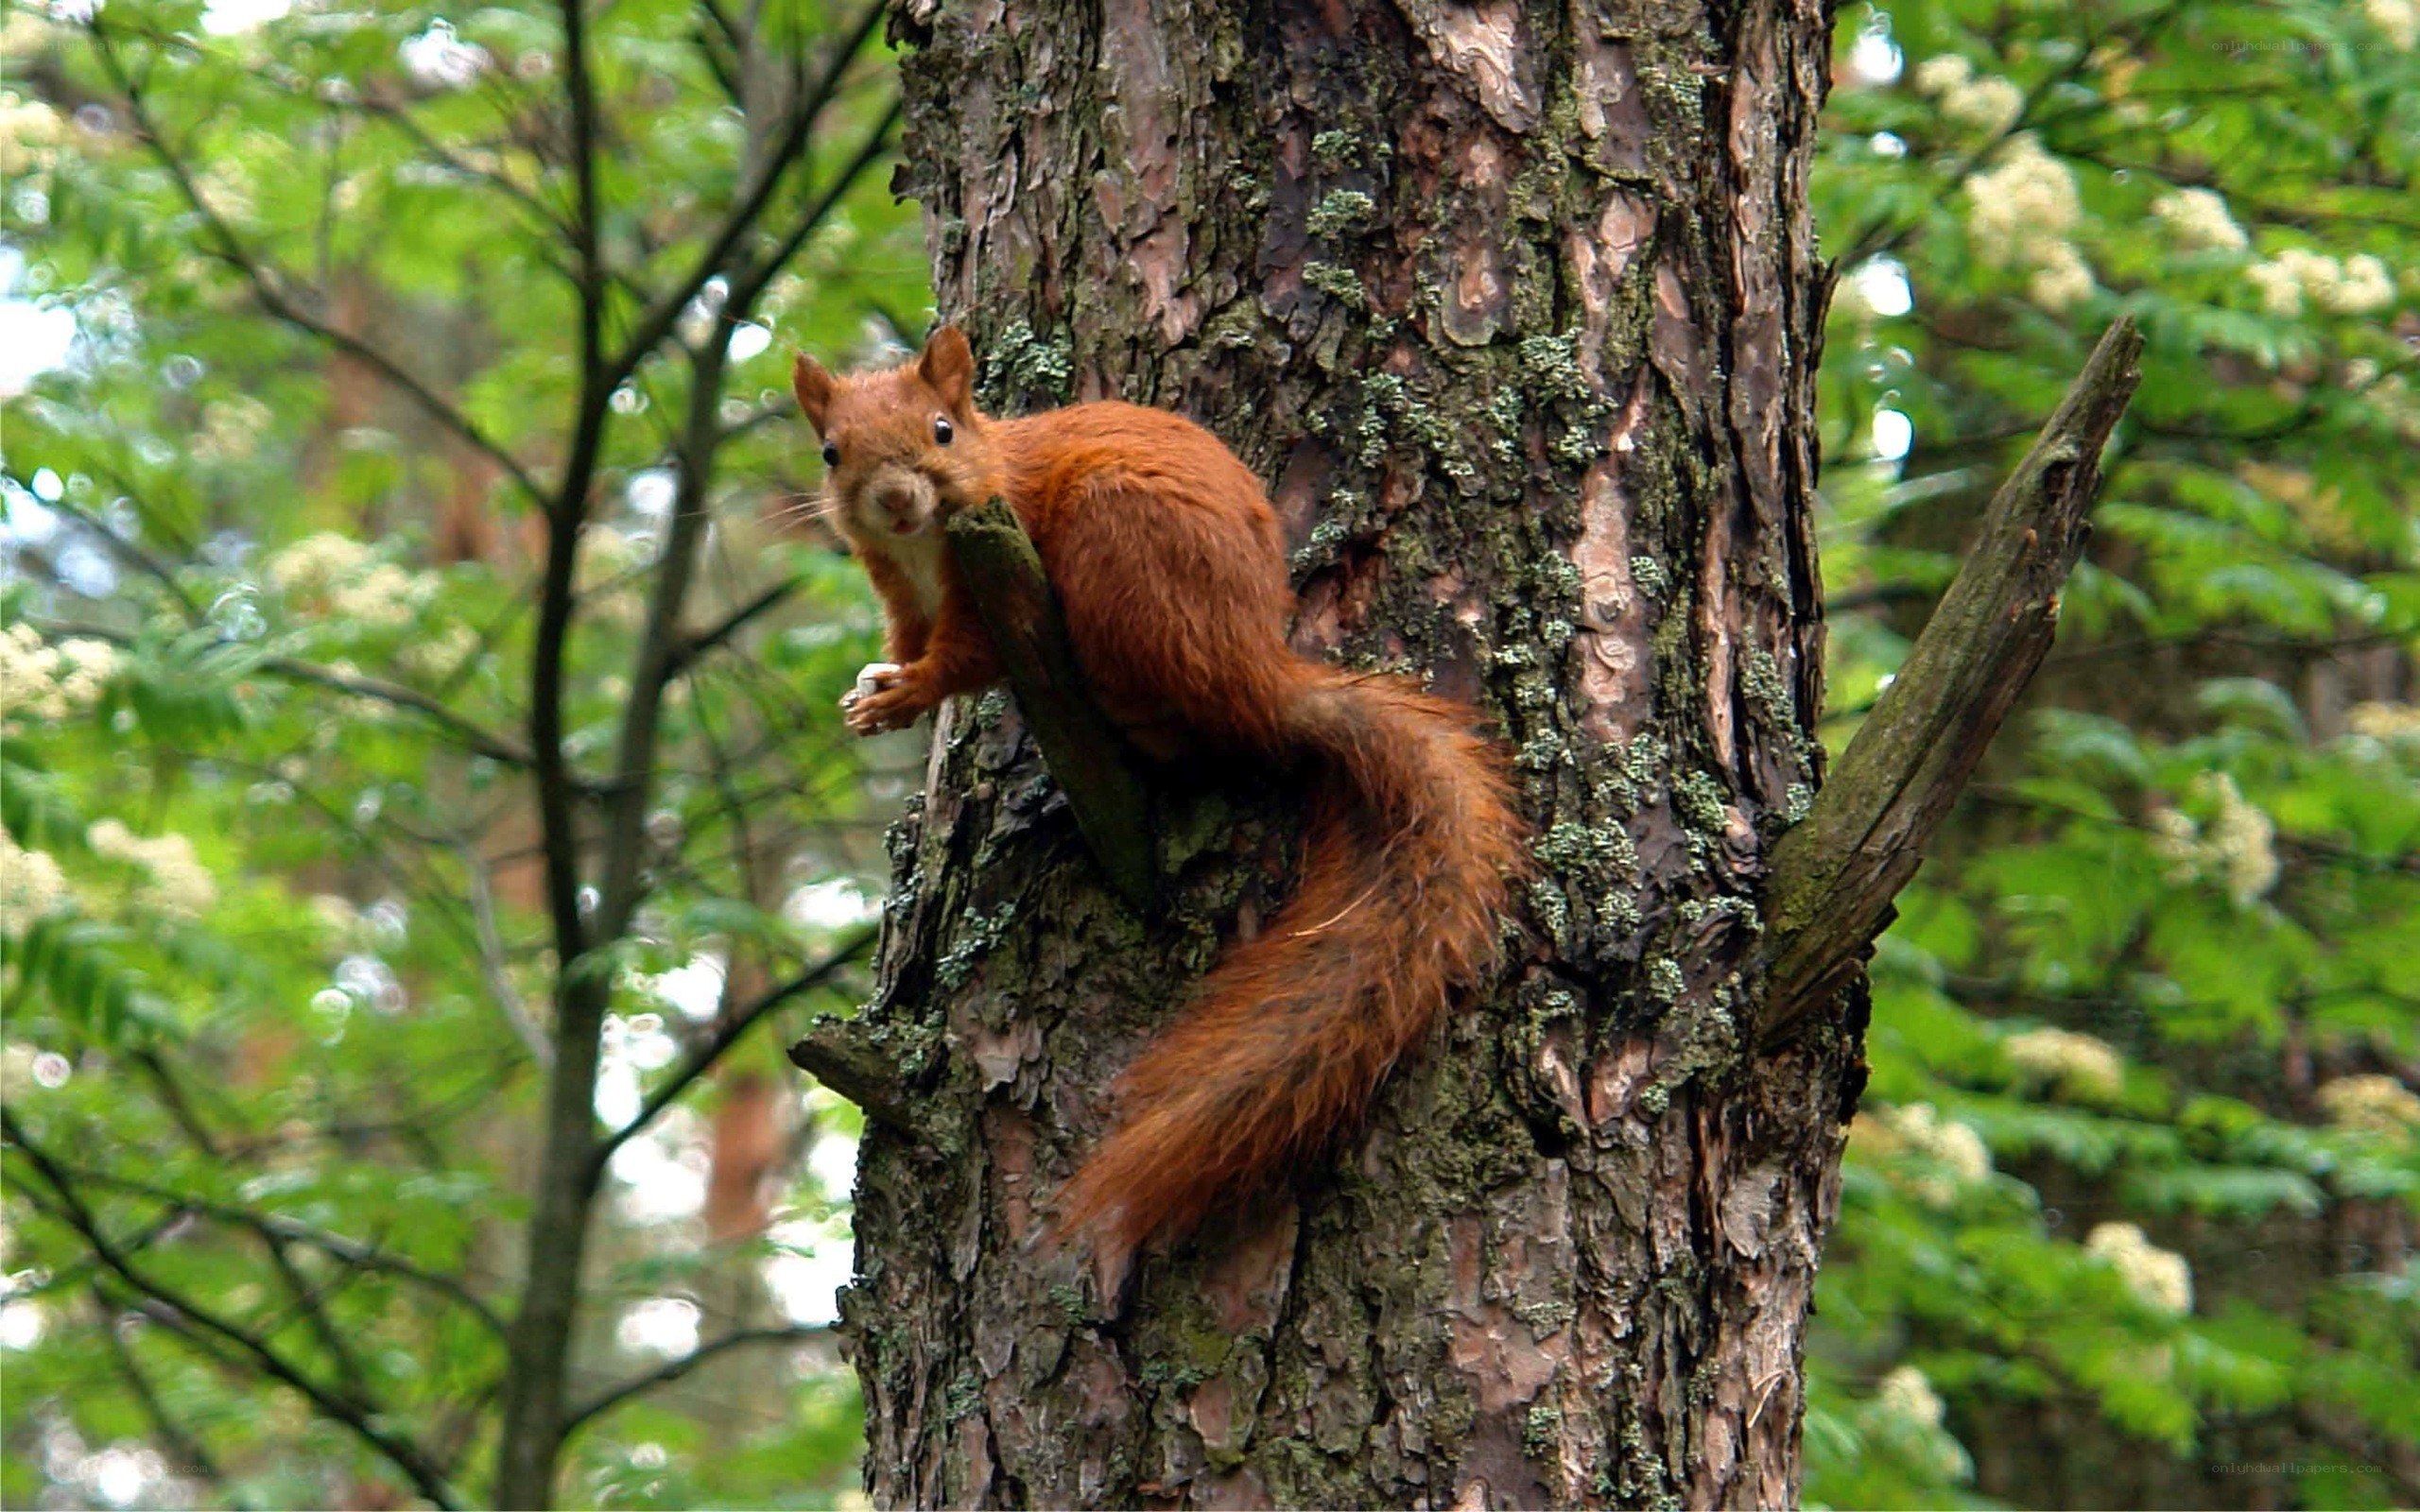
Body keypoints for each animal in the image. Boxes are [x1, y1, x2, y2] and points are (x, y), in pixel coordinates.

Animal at [793, 326, 1528, 1254]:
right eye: (831, 451)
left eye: (942, 430)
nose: (894, 500)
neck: (925, 546)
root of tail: (1261, 676)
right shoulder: (898, 590)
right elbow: (906, 642)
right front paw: (875, 694)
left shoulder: (992, 566)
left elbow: (964, 660)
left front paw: (906, 694)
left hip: (1120, 548)